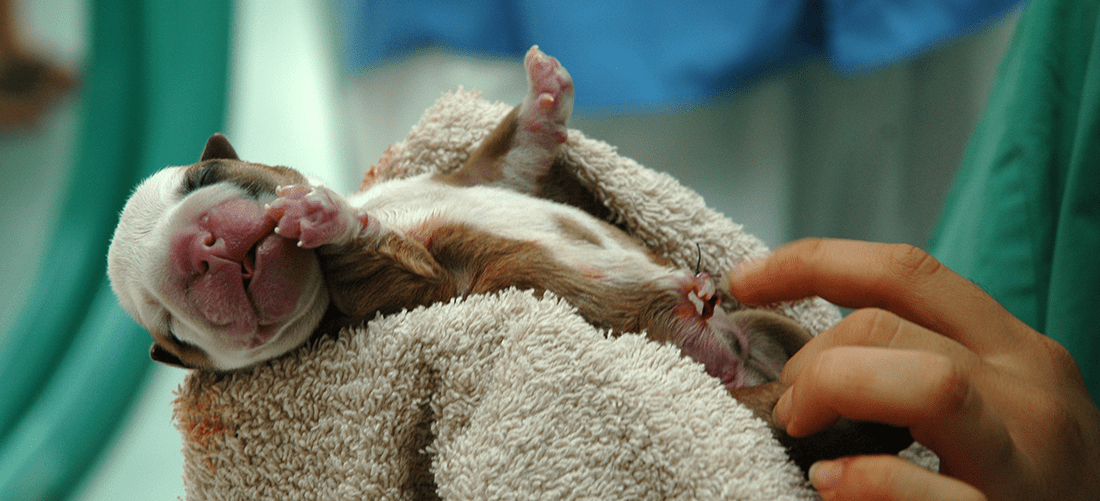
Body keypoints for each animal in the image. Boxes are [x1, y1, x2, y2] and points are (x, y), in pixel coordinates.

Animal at [105, 45, 910, 471]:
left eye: (202, 178)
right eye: (172, 331)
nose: (200, 248)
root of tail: (731, 366)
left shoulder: (472, 178)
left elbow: (514, 154)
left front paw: (543, 96)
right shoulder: (410, 289)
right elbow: (373, 258)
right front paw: (321, 216)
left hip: (772, 325)